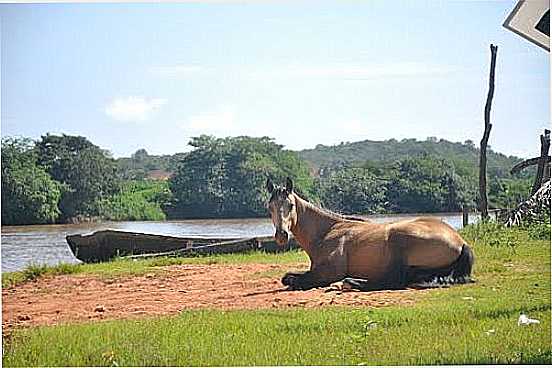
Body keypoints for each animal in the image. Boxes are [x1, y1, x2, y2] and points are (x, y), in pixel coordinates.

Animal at [266, 177, 472, 292]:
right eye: (270, 207)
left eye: (290, 205)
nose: (282, 235)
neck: (327, 232)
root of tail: (460, 242)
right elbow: (288, 276)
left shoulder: (330, 271)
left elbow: (293, 279)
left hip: (399, 237)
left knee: (393, 281)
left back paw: (349, 283)